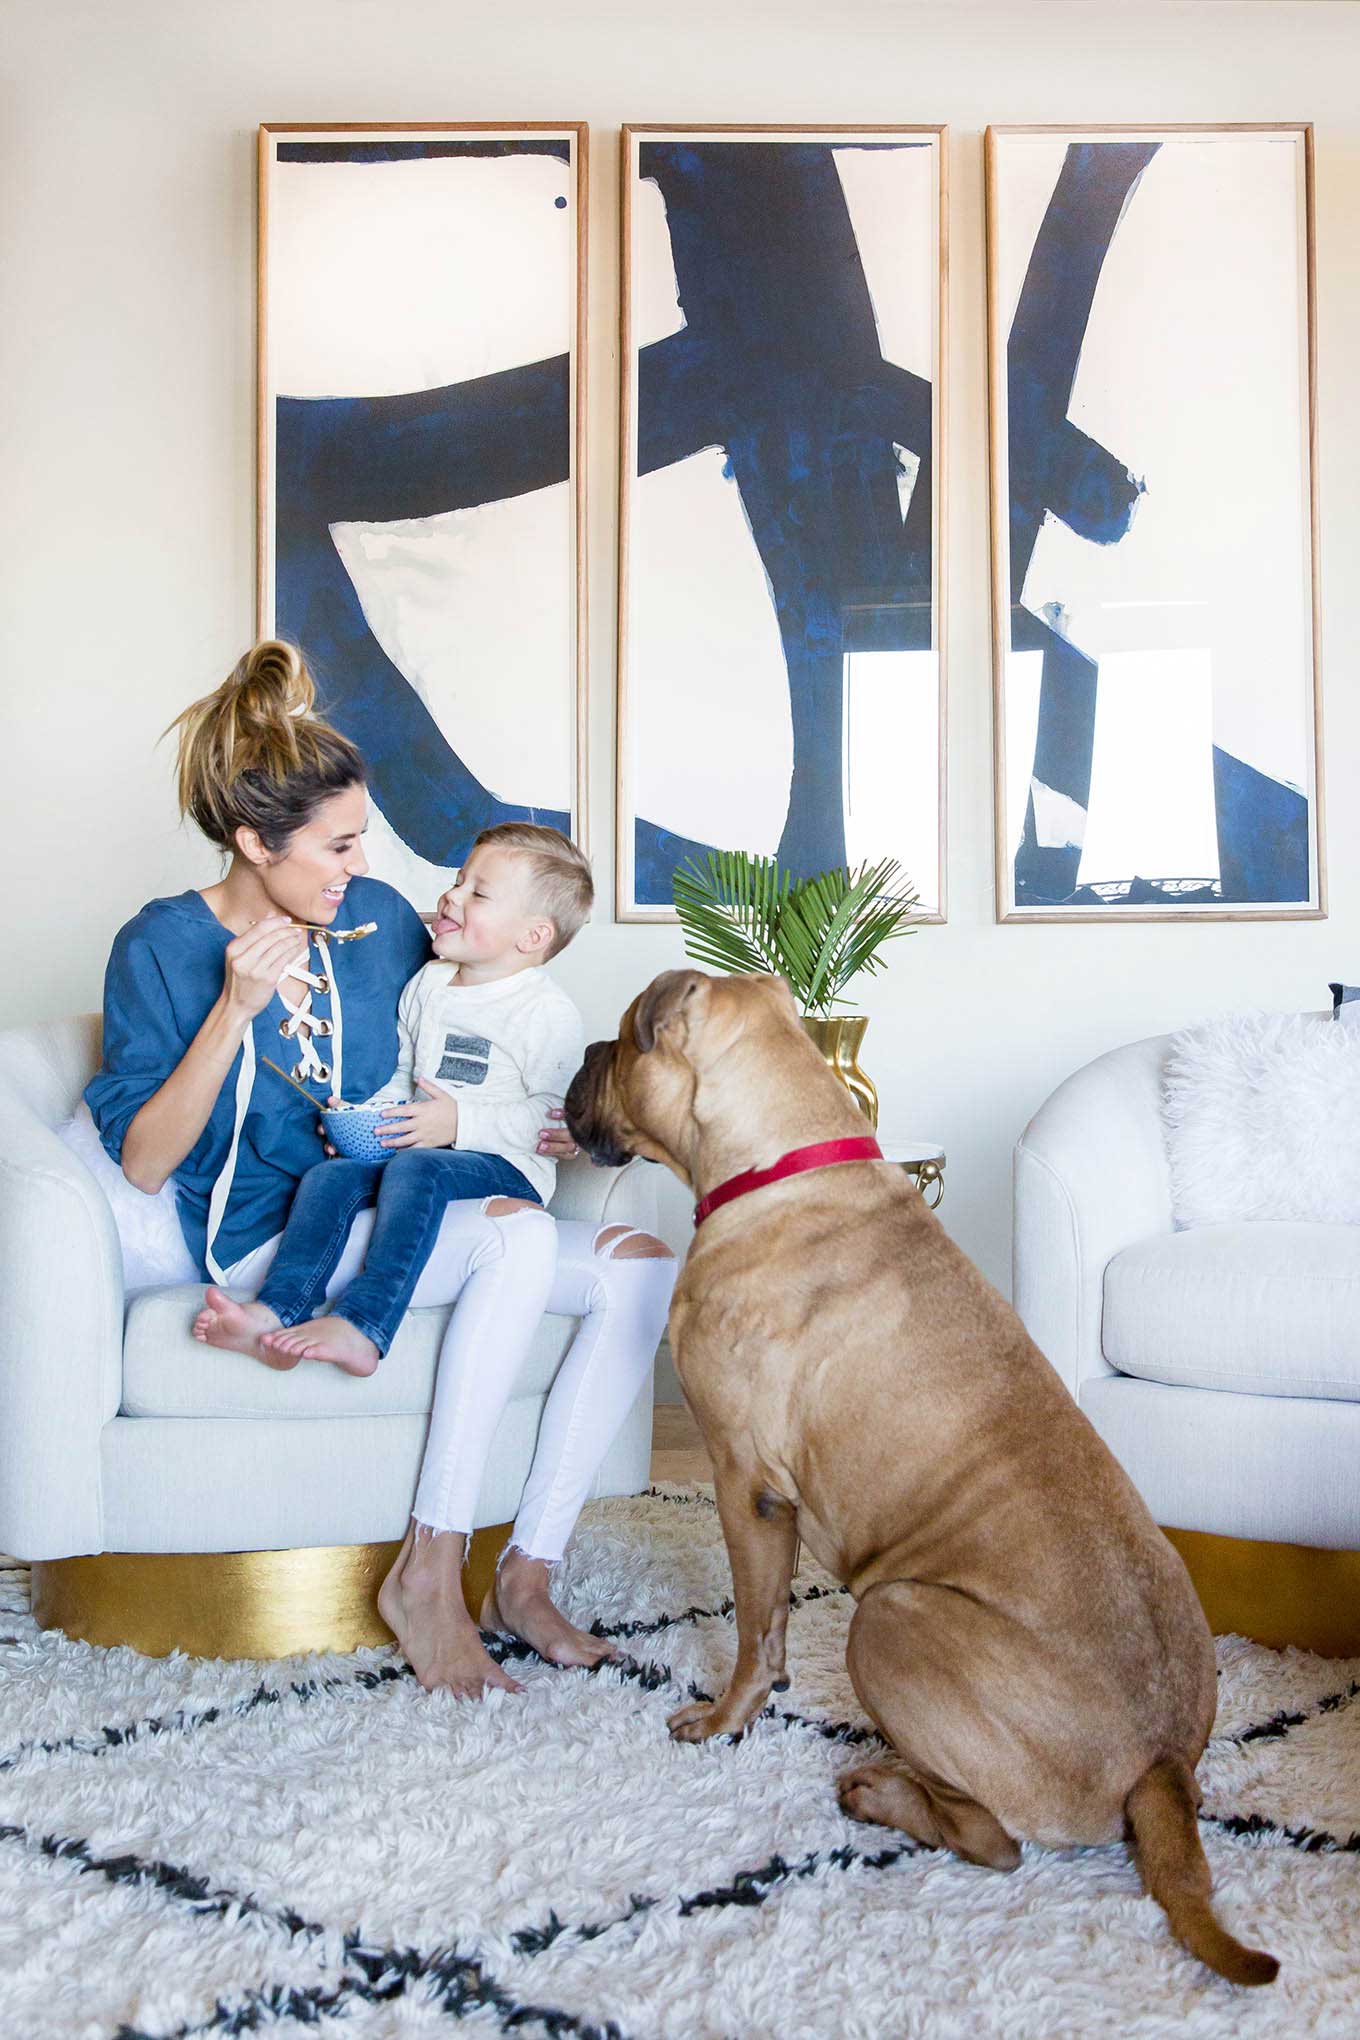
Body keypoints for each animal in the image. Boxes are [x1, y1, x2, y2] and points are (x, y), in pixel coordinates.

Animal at [565, 968, 1277, 1988]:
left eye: (623, 1042)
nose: (585, 1052)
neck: (780, 1159)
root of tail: (1162, 1765)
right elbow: (770, 1620)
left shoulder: (746, 1483)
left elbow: (752, 1624)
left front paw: (726, 1719)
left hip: (889, 1618)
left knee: (993, 1840)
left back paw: (879, 1794)